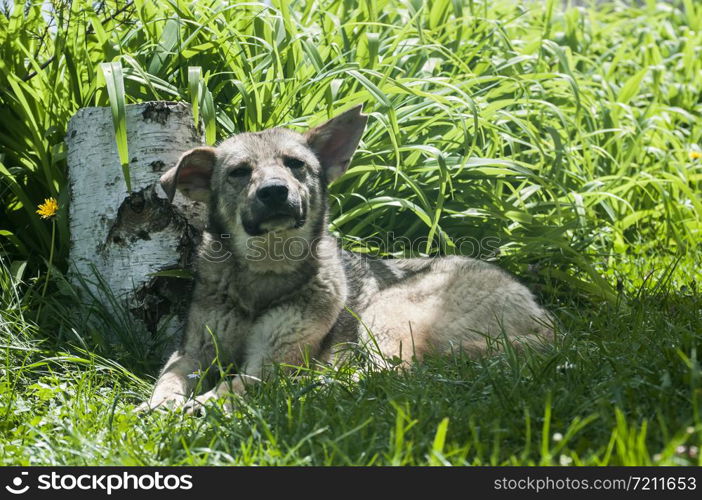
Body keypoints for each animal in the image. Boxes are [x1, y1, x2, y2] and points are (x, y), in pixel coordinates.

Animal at [140, 104, 552, 410]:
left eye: (295, 164)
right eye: (239, 172)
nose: (274, 192)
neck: (265, 270)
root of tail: (546, 323)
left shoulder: (272, 357)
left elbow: (238, 383)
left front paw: (206, 404)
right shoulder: (193, 352)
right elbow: (169, 379)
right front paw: (157, 405)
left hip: (387, 308)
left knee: (390, 374)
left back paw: (306, 388)